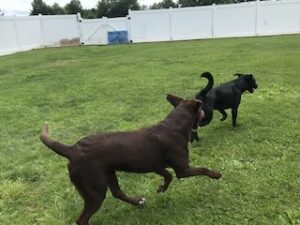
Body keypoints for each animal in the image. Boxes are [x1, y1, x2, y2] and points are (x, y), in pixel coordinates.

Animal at [39, 94, 221, 225]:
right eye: (201, 109)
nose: (206, 113)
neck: (174, 125)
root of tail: (73, 149)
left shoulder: (156, 165)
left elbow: (168, 176)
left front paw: (161, 188)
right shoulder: (183, 169)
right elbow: (202, 169)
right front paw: (216, 174)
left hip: (108, 173)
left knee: (117, 192)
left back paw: (138, 201)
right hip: (95, 190)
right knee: (82, 219)